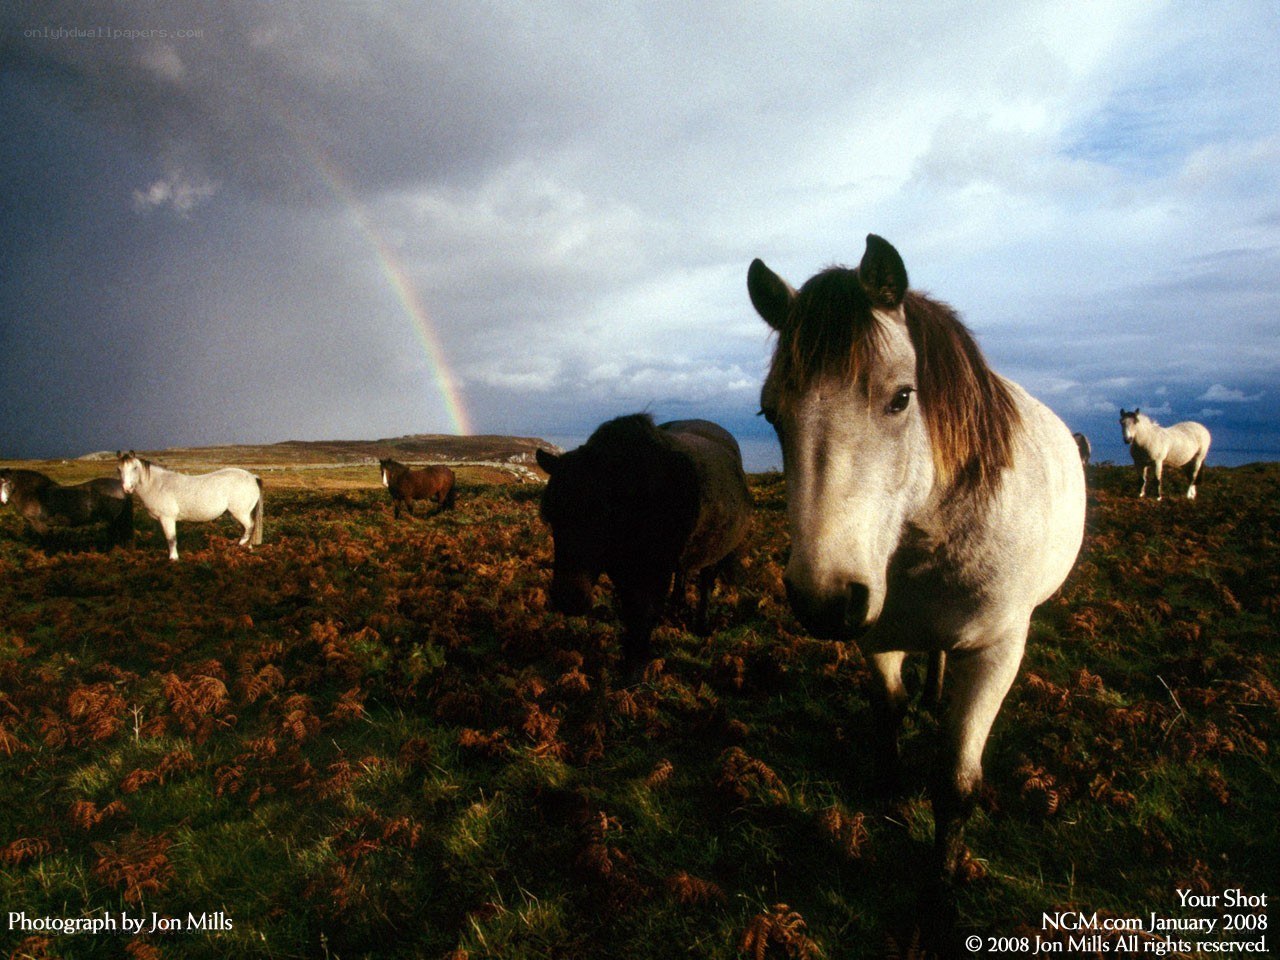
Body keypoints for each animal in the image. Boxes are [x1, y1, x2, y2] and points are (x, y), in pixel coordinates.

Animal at [0, 468, 134, 546]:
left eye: (8, 482)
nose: (3, 502)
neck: (34, 493)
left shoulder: (38, 523)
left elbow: (47, 541)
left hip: (114, 520)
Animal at [117, 452, 263, 560]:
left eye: (135, 468)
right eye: (118, 469)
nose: (127, 488)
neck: (158, 485)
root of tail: (252, 477)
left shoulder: (167, 519)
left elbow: (171, 539)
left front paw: (173, 558)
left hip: (240, 513)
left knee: (250, 526)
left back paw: (242, 544)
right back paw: (247, 547)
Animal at [536, 415, 753, 677]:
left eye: (603, 515)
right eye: (551, 517)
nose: (568, 599)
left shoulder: (654, 575)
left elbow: (644, 615)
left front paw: (635, 671)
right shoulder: (623, 573)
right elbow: (633, 612)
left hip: (716, 554)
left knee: (706, 584)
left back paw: (701, 625)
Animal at [748, 234, 1085, 881]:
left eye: (902, 397)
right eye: (771, 414)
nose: (822, 600)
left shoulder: (997, 652)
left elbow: (956, 781)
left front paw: (942, 880)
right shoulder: (876, 635)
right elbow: (890, 713)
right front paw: (890, 794)